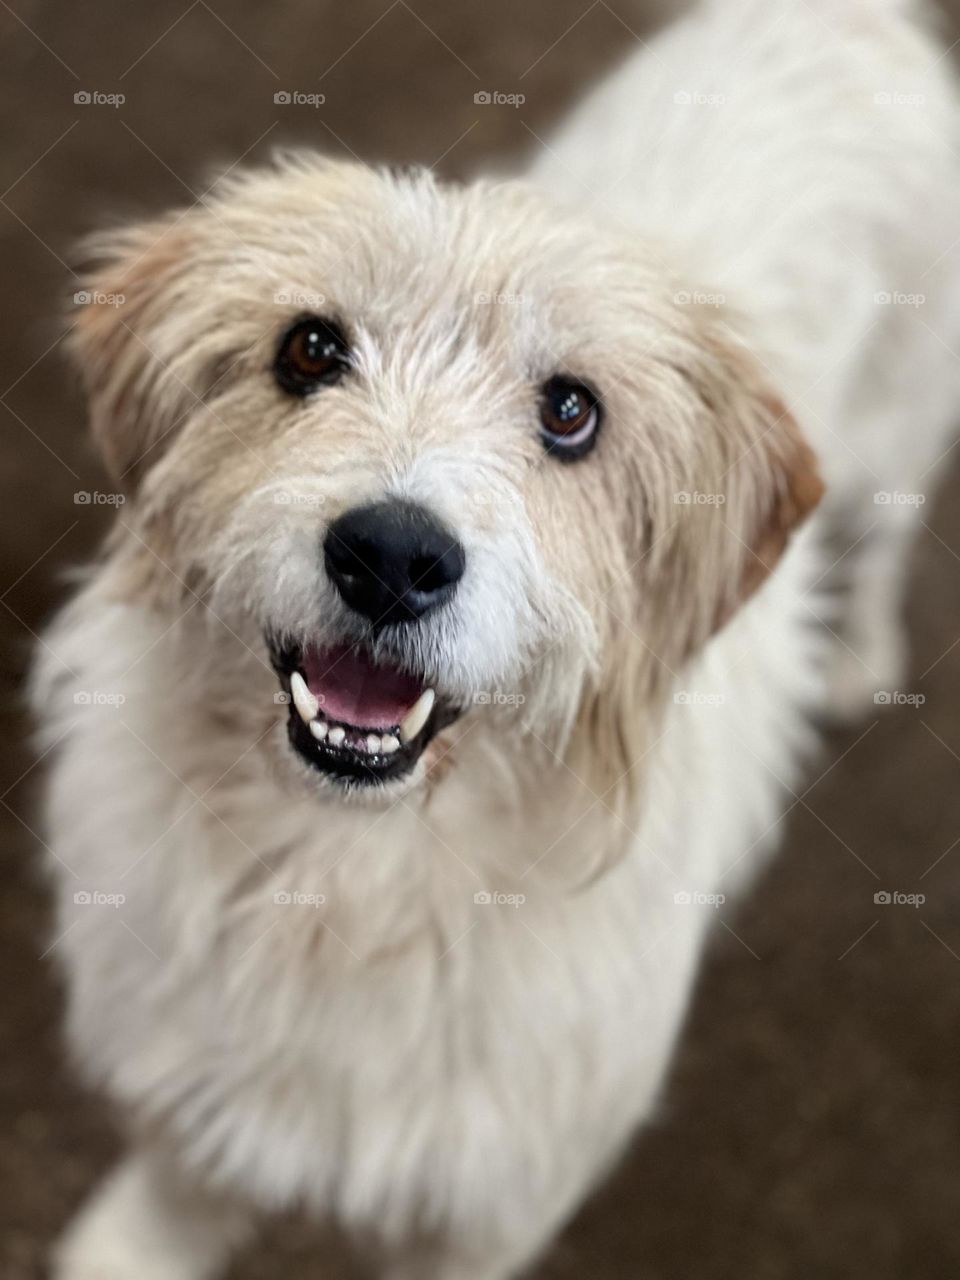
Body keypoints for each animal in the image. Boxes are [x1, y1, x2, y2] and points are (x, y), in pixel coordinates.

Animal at [33, 2, 960, 1280]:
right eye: (309, 349)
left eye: (571, 411)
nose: (390, 556)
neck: (354, 872)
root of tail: (850, 19)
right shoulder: (185, 1127)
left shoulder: (486, 1217)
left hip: (898, 448)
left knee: (880, 544)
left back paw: (859, 654)